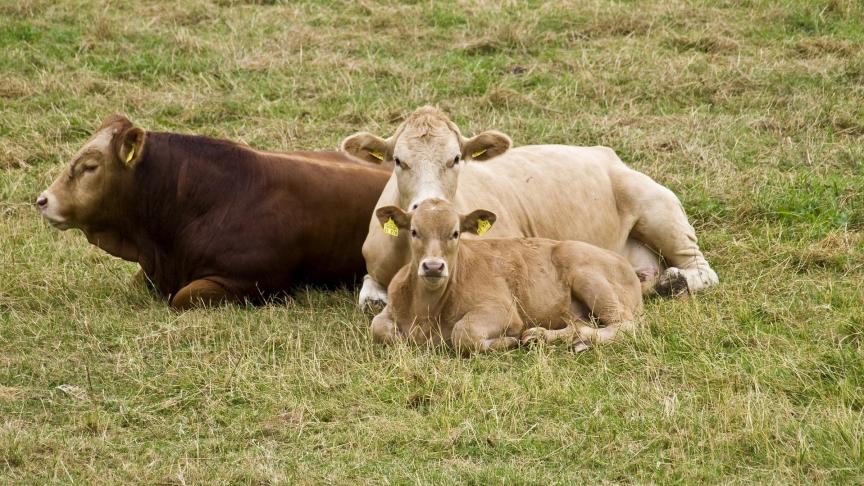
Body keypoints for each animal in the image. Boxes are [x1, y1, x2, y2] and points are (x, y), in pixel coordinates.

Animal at [341, 106, 718, 310]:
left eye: (456, 159)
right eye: (399, 161)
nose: (430, 205)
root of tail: (604, 153)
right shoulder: (373, 267)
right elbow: (371, 297)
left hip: (659, 209)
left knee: (702, 270)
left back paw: (674, 283)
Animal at [370, 199, 643, 355]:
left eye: (455, 233)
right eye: (414, 231)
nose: (434, 267)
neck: (426, 313)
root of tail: (626, 264)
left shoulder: (502, 310)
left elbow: (462, 334)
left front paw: (508, 341)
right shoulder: (390, 308)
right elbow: (378, 328)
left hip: (590, 277)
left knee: (625, 326)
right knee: (581, 324)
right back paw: (544, 337)